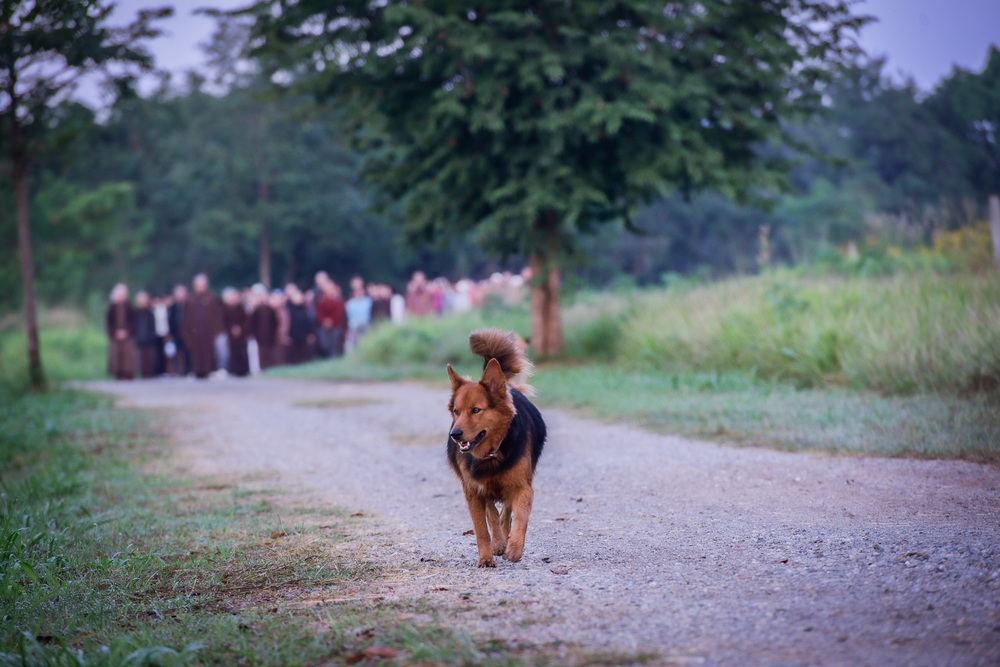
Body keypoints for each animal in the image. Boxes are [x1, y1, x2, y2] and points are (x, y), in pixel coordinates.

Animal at [450, 328, 552, 568]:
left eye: (476, 410)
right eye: (456, 411)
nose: (455, 435)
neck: (492, 452)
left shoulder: (522, 487)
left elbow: (520, 517)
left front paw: (514, 548)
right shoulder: (473, 492)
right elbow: (481, 528)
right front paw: (486, 557)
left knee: (506, 513)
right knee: (493, 514)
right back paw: (497, 541)